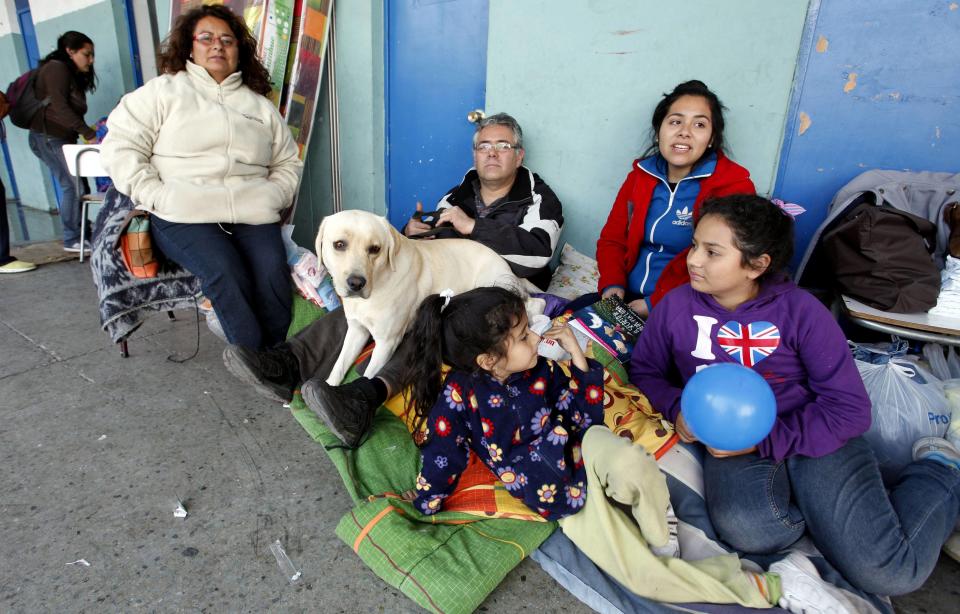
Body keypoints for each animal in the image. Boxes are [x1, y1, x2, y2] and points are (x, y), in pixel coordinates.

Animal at [316, 209, 528, 388]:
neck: (377, 286)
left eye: (375, 249)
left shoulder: (386, 342)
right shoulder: (356, 329)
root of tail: (504, 261)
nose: (356, 283)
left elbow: (368, 376)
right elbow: (339, 366)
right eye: (339, 245)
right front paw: (329, 387)